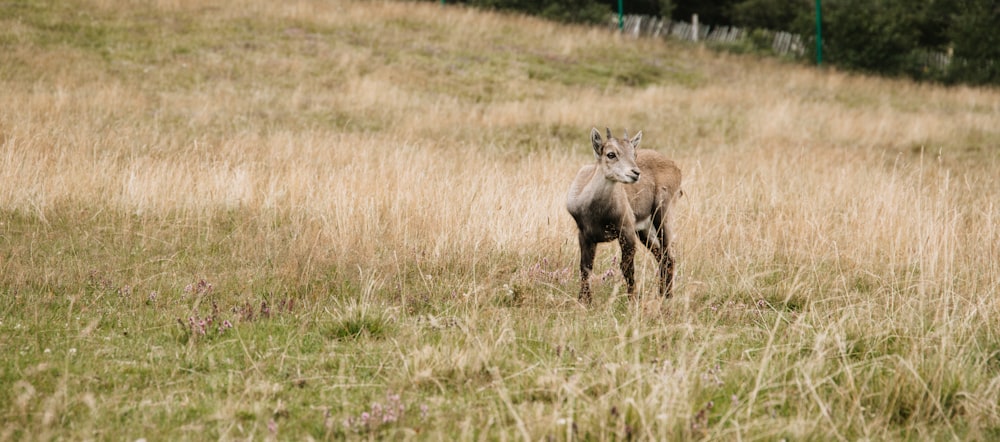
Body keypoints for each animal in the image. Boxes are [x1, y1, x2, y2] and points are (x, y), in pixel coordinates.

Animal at [568, 126, 684, 302]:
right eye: (611, 154)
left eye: (634, 154)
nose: (635, 173)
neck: (597, 212)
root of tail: (675, 167)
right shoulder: (585, 235)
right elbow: (585, 267)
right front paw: (584, 300)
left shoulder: (626, 229)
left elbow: (627, 267)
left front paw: (632, 299)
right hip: (644, 230)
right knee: (660, 255)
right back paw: (662, 294)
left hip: (663, 214)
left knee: (668, 256)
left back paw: (667, 296)